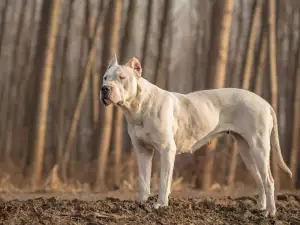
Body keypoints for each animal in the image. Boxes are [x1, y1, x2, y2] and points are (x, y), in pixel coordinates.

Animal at [100, 55, 290, 216]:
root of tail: (265, 103)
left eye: (121, 77)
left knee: (269, 180)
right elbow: (143, 180)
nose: (104, 89)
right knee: (260, 180)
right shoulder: (142, 151)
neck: (138, 106)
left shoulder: (167, 150)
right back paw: (261, 208)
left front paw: (160, 205)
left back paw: (270, 212)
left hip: (259, 147)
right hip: (246, 150)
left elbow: (164, 181)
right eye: (105, 77)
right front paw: (142, 203)